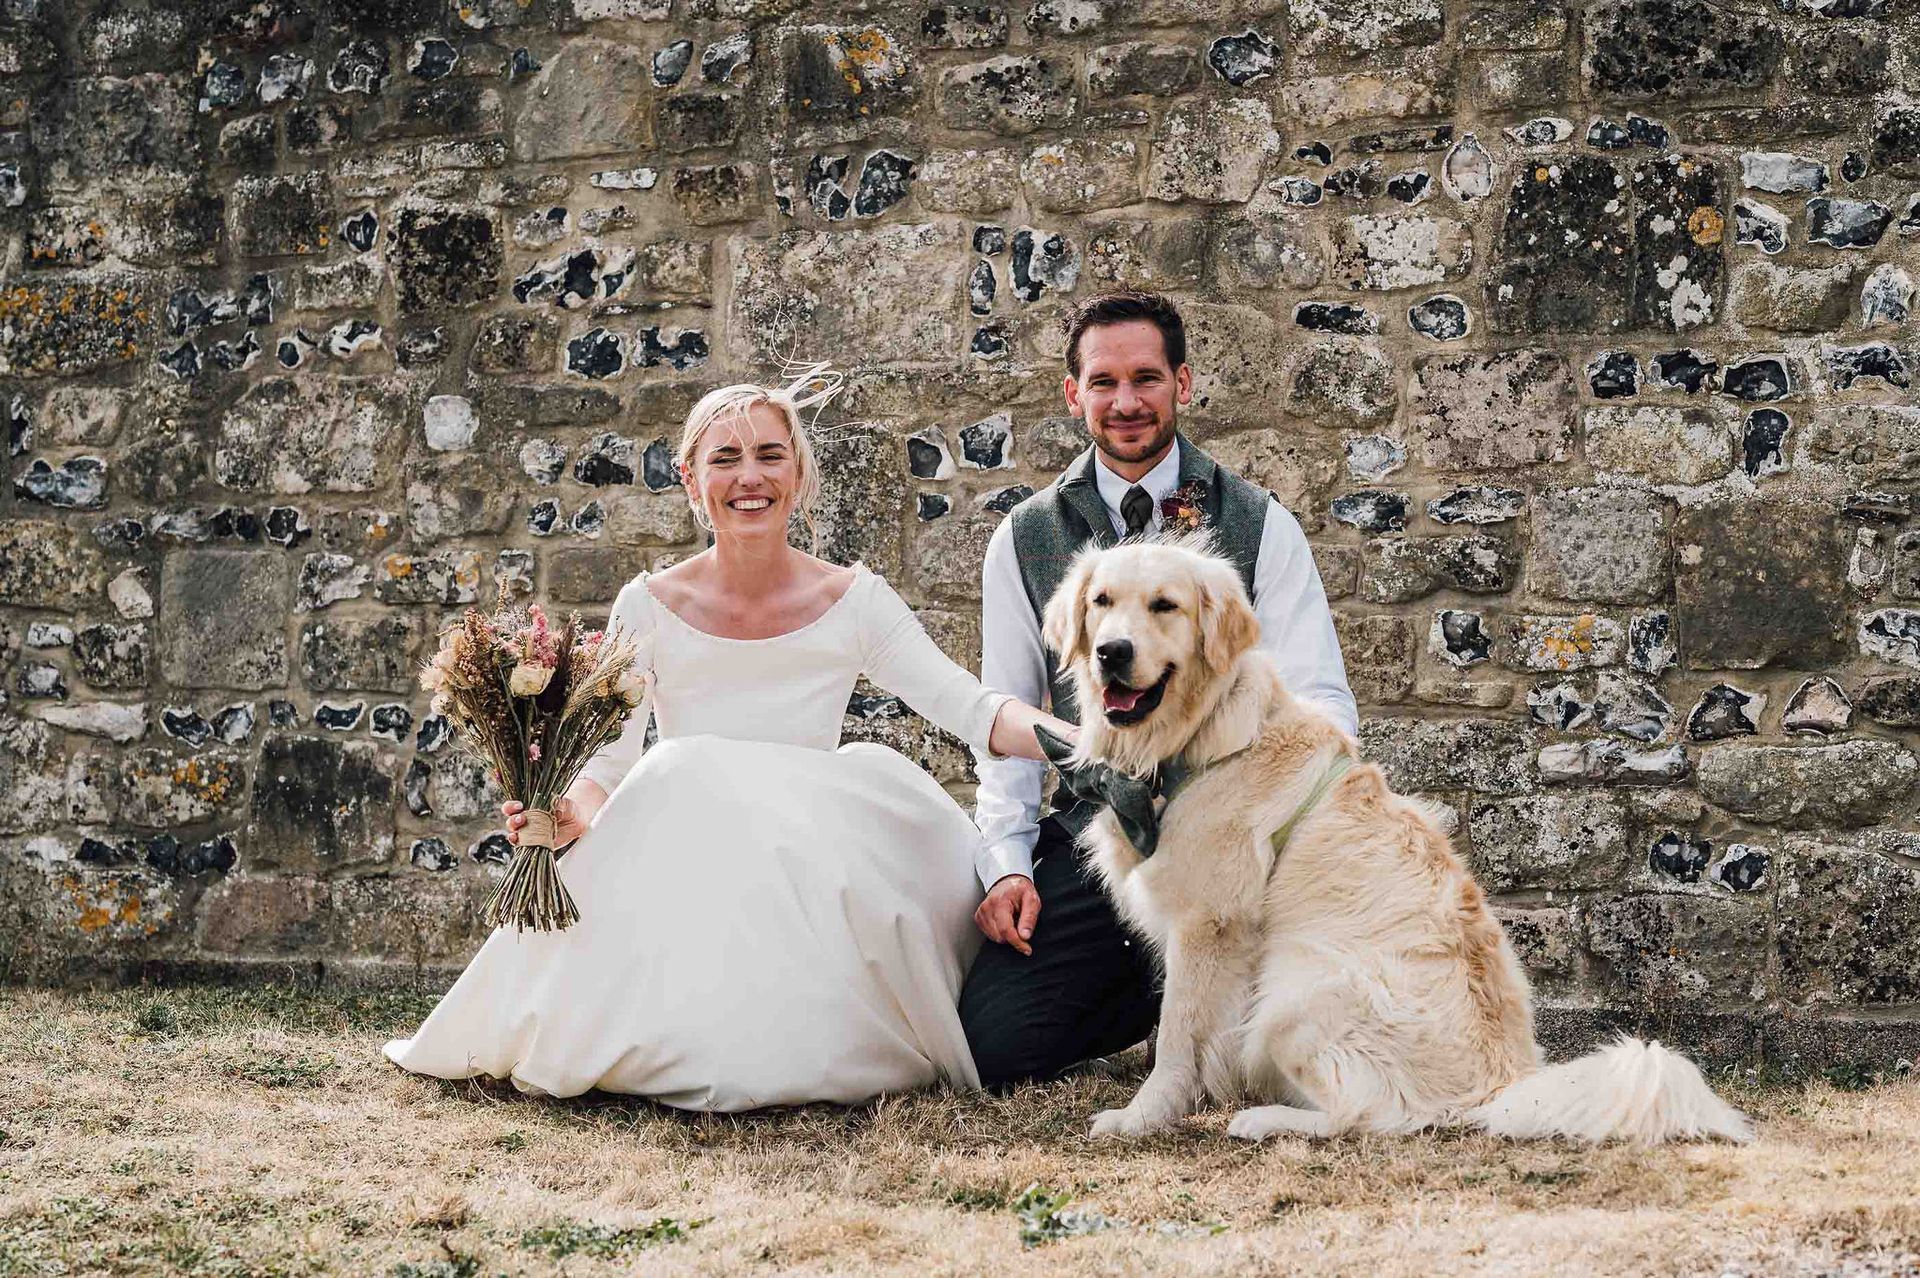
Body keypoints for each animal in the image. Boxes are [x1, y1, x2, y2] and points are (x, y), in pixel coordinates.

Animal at [1042, 534, 1752, 1145]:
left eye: (1165, 605)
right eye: (1101, 602)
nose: (1112, 652)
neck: (1196, 740)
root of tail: (1503, 1085)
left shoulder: (1207, 926)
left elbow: (1174, 1039)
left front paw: (1143, 1117)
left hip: (1299, 990)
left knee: (1376, 1114)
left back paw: (1265, 1120)